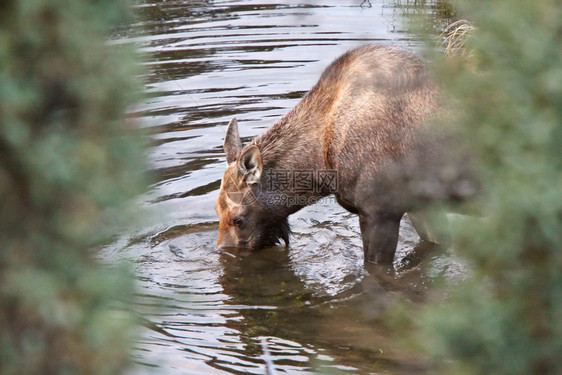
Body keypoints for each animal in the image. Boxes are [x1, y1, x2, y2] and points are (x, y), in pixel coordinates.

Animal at [214, 44, 468, 264]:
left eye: (238, 219)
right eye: (216, 209)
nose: (223, 253)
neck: (322, 165)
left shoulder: (379, 211)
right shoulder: (419, 205)